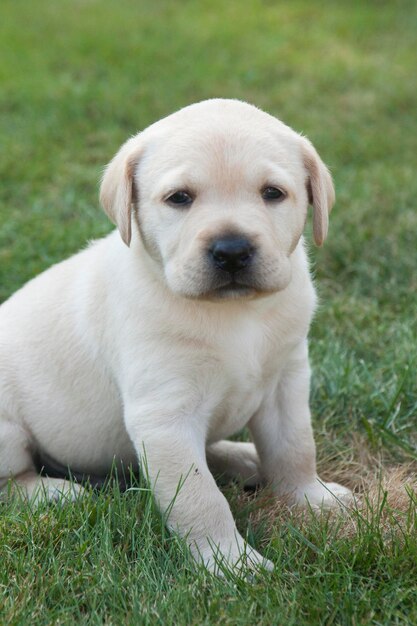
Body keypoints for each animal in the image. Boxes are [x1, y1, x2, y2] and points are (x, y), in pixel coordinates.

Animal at [0, 97, 352, 572]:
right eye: (179, 198)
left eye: (273, 193)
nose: (232, 250)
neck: (235, 314)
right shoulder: (165, 417)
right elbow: (200, 498)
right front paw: (231, 563)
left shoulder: (287, 380)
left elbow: (296, 447)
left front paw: (312, 498)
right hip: (8, 432)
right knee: (11, 480)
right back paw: (52, 491)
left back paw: (243, 457)